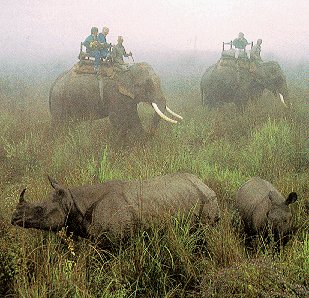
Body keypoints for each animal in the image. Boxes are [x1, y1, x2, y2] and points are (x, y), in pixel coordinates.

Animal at [49, 62, 182, 140]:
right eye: (146, 85)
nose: (149, 133)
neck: (128, 71)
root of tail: (54, 83)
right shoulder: (115, 94)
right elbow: (117, 119)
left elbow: (133, 116)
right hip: (59, 101)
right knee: (60, 124)